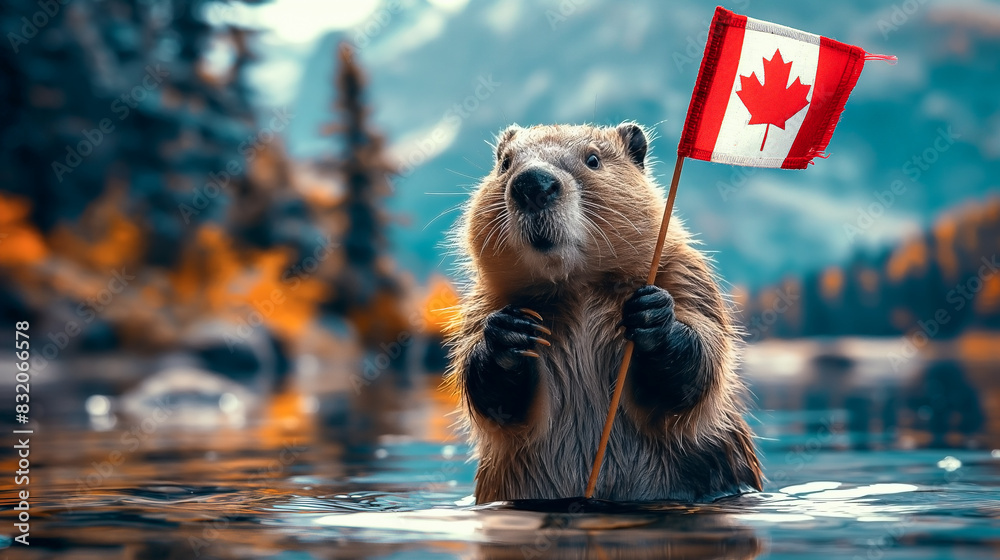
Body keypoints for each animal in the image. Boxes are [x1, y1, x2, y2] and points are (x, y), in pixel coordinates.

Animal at [442, 123, 760, 504]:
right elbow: (496, 399)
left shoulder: (687, 276)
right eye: (505, 163)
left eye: (593, 159)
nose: (533, 183)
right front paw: (510, 332)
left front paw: (652, 315)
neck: (579, 292)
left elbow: (696, 367)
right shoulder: (482, 300)